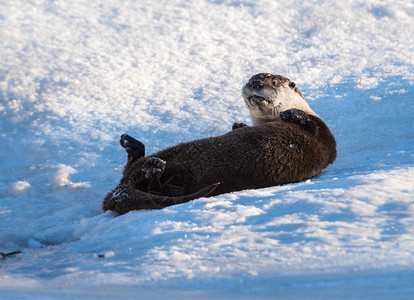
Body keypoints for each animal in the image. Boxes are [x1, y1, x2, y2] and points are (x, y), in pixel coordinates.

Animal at [104, 75, 336, 216]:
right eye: (251, 79)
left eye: (275, 82)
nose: (256, 83)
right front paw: (238, 125)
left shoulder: (326, 139)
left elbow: (318, 131)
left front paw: (293, 114)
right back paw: (135, 148)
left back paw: (149, 163)